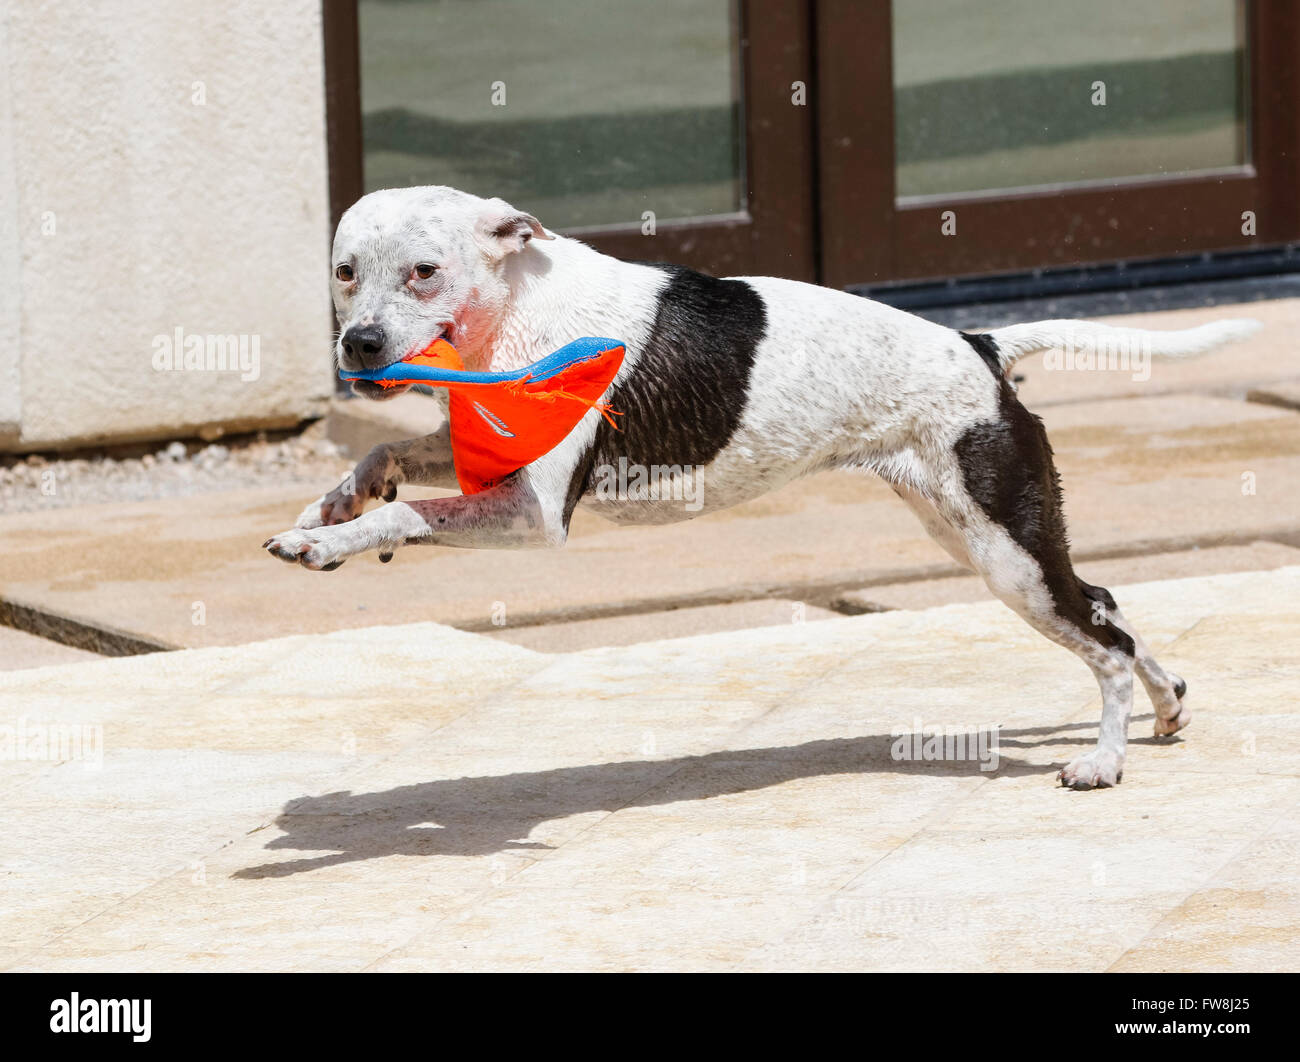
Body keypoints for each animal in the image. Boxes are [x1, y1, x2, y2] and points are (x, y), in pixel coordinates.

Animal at [266, 185, 1258, 790]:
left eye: (424, 271)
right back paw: (1169, 704)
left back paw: (1105, 761)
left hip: (1007, 557)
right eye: (344, 272)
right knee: (1105, 606)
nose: (359, 344)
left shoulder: (534, 515)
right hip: (981, 535)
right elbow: (384, 459)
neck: (516, 309)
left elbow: (408, 505)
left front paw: (329, 539)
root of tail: (979, 347)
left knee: (1104, 645)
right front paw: (330, 510)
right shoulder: (483, 469)